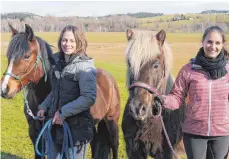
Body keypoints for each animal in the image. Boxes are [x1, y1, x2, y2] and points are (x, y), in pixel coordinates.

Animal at [0, 23, 121, 159]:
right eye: (8, 56)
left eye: (26, 56)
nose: (4, 88)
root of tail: (109, 77)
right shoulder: (35, 134)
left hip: (112, 121)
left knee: (115, 145)